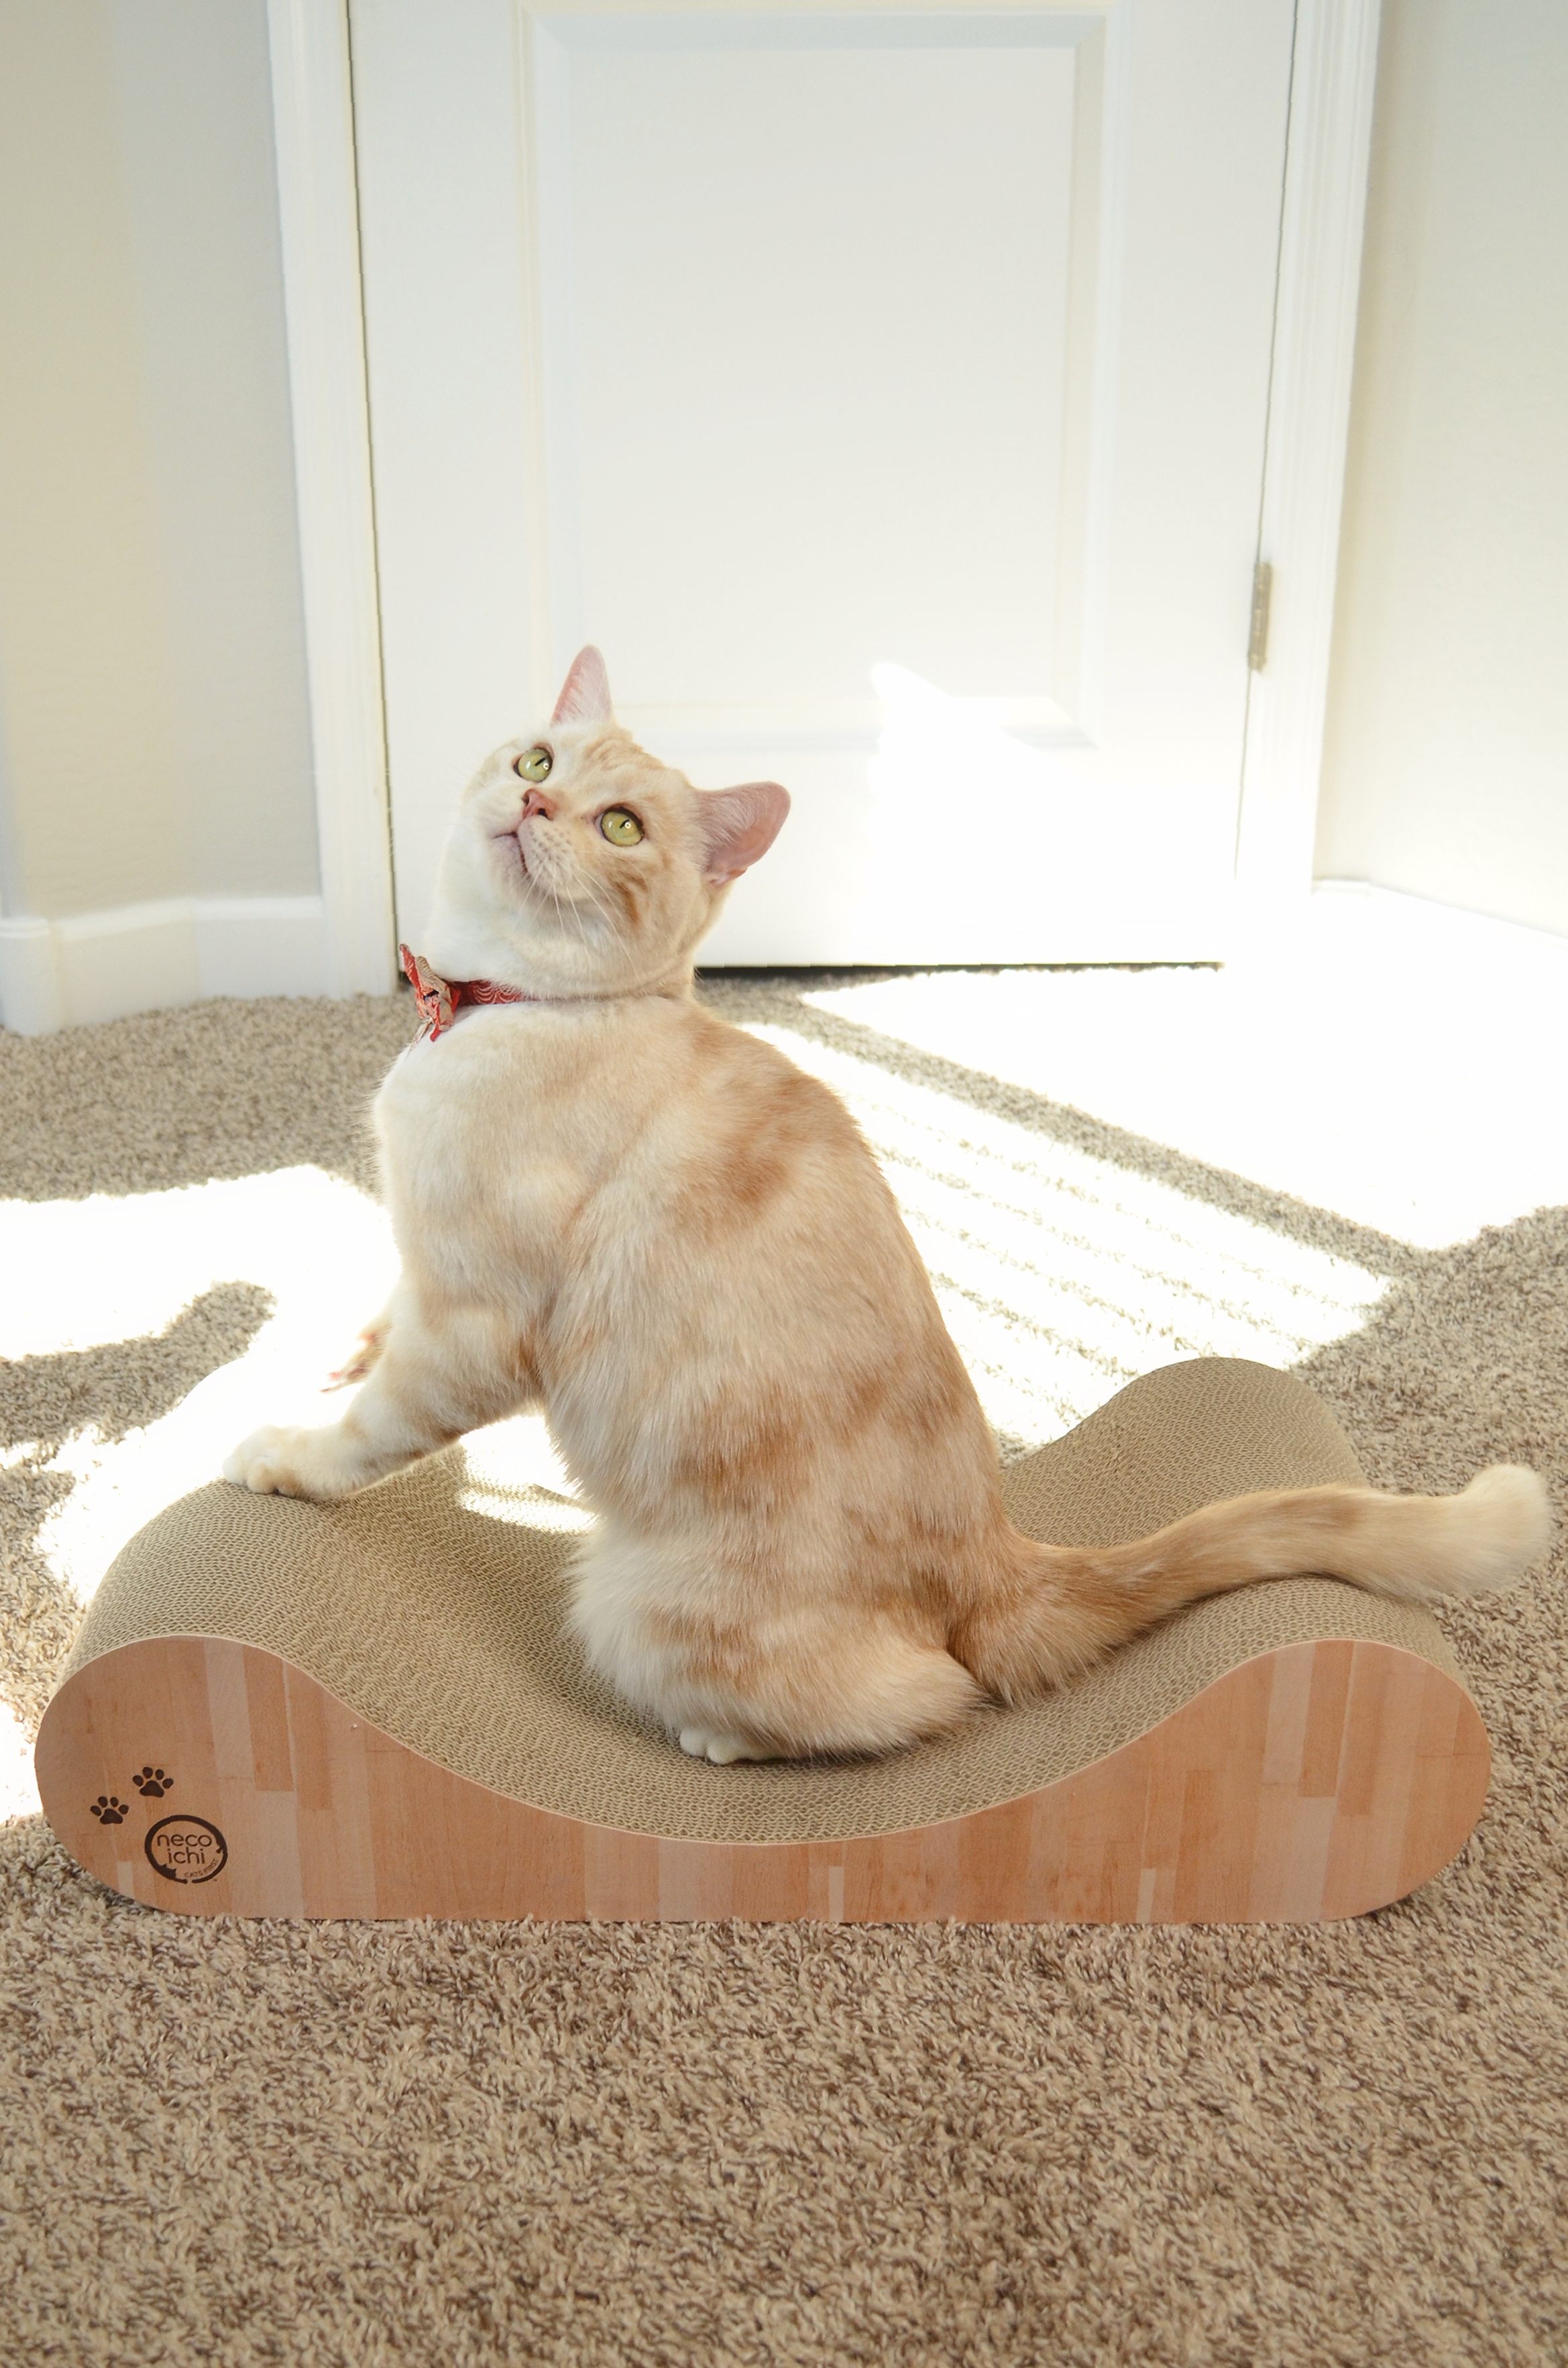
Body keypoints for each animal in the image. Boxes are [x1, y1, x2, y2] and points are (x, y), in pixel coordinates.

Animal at [223, 649, 1563, 1762]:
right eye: (539, 763)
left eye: (620, 826)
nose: (536, 808)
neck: (489, 1010)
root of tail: (1003, 1554)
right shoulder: (421, 1266)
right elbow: (371, 1319)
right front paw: (328, 1353)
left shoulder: (473, 1324)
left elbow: (366, 1434)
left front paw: (280, 1453)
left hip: (625, 1605)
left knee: (917, 1700)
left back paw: (721, 1736)